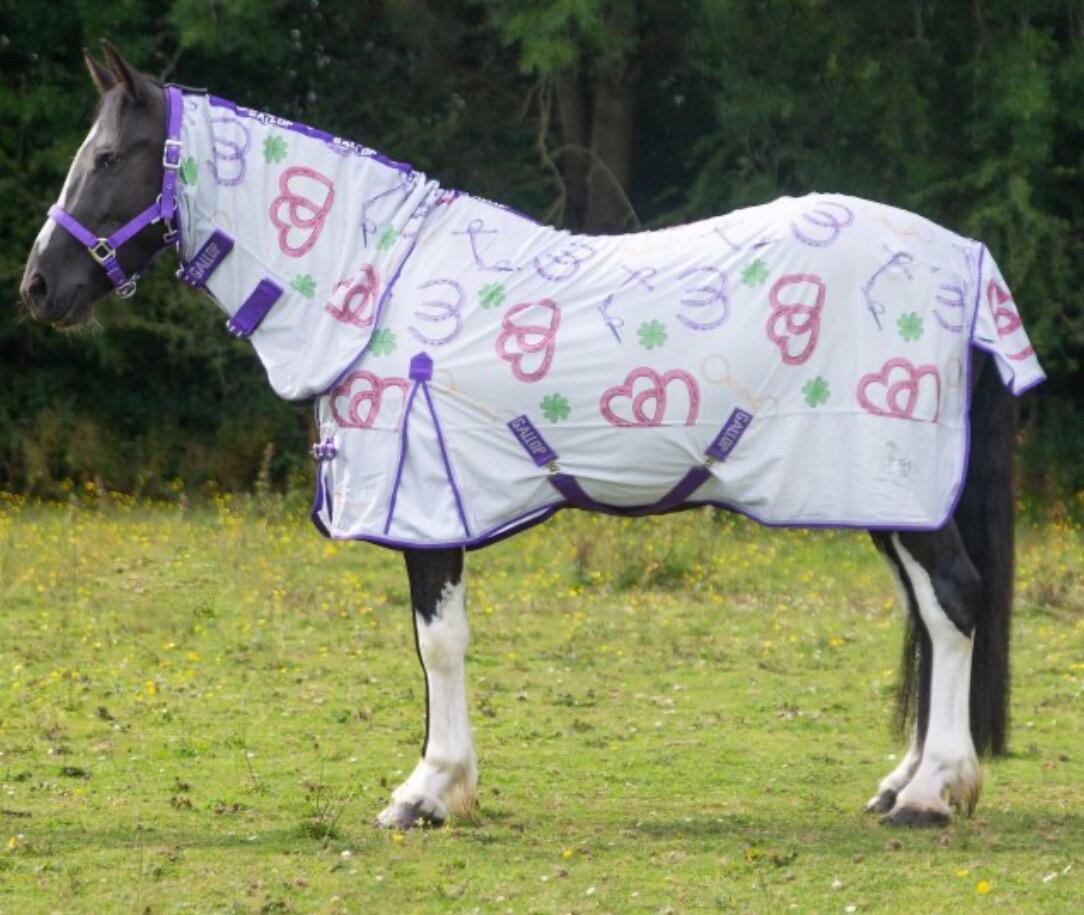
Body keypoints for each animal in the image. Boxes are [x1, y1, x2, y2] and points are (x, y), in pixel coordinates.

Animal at [19, 43, 1044, 830]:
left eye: (107, 157)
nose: (38, 287)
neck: (376, 286)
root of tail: (964, 257)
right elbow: (431, 647)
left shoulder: (426, 507)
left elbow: (438, 644)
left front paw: (429, 793)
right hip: (883, 497)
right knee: (929, 613)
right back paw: (904, 782)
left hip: (893, 488)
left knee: (953, 603)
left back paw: (933, 794)